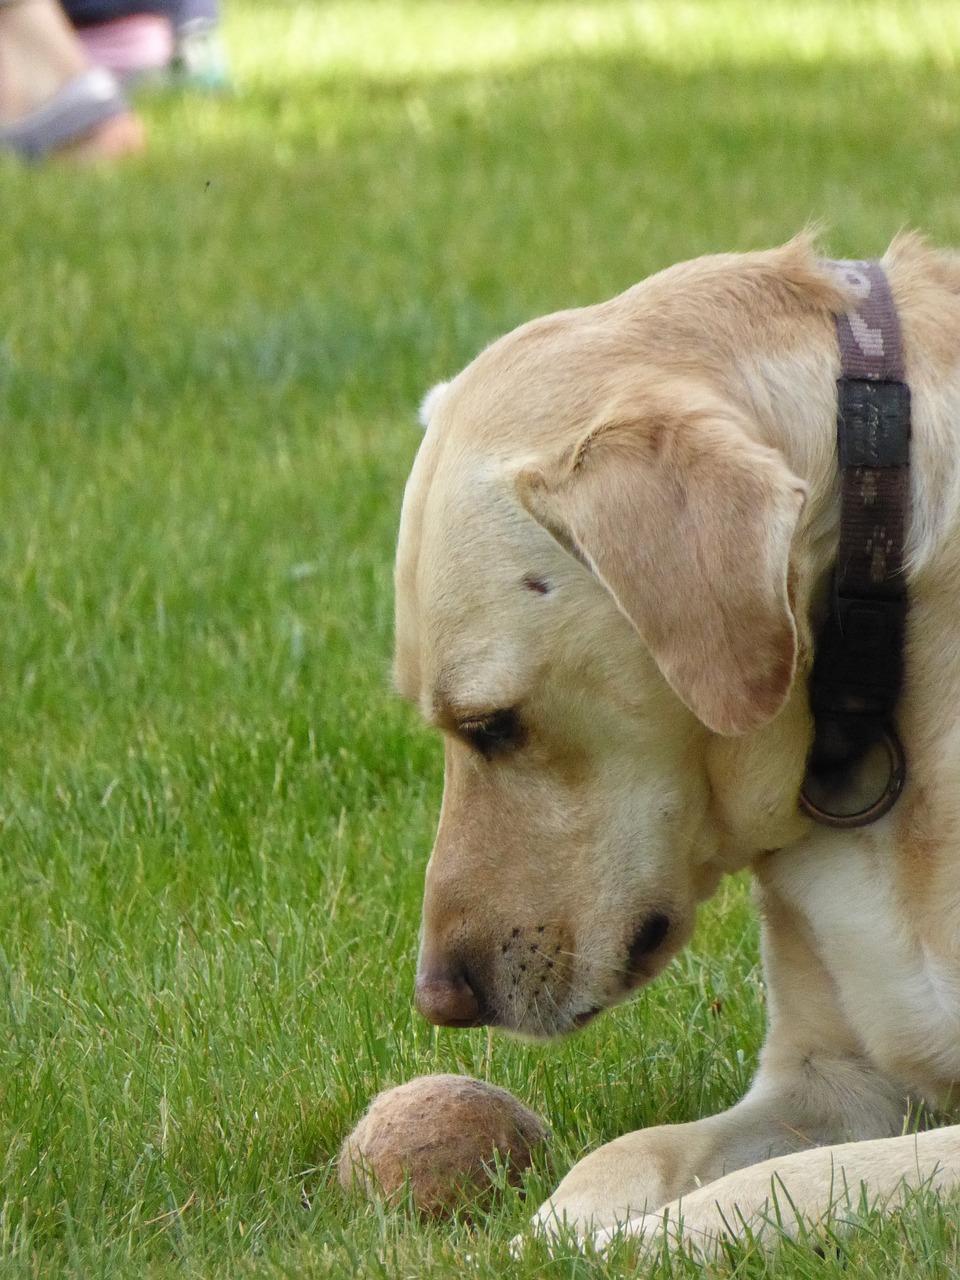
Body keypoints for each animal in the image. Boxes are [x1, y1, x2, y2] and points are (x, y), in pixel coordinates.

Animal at [394, 235, 960, 1254]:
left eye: (492, 726)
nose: (439, 1001)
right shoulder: (832, 1082)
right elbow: (631, 1151)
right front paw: (559, 1230)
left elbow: (792, 1184)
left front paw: (642, 1244)